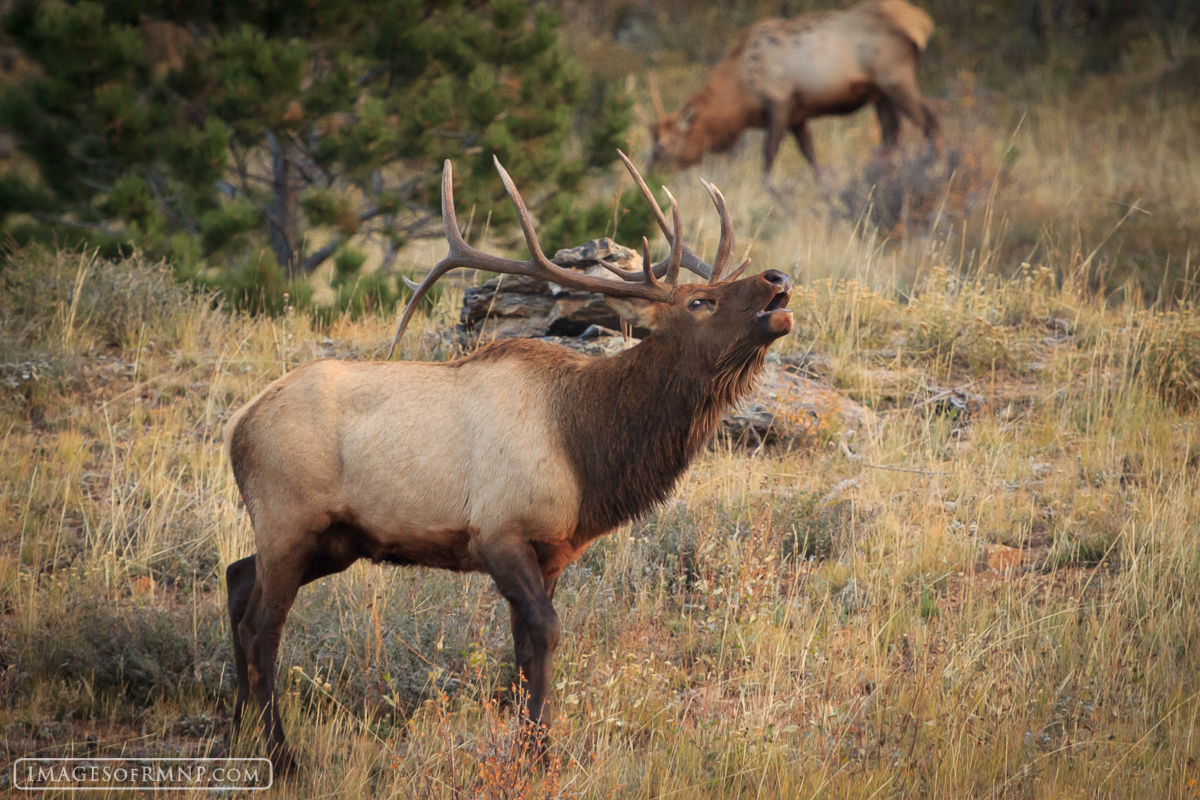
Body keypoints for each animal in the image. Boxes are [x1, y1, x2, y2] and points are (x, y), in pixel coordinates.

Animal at [223, 149, 796, 777]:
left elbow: (524, 648)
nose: (777, 277)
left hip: (331, 539)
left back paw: (238, 728)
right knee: (261, 627)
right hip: (289, 519)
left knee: (236, 579)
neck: (586, 452)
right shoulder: (499, 530)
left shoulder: (553, 552)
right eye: (699, 301)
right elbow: (545, 633)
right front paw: (542, 754)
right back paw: (281, 756)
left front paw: (530, 748)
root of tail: (237, 427)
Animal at [643, 0, 940, 178]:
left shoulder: (779, 102)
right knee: (892, 134)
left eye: (663, 146)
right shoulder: (799, 116)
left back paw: (933, 167)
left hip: (895, 79)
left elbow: (768, 157)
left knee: (929, 119)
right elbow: (812, 157)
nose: (650, 173)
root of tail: (923, 23)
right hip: (880, 93)